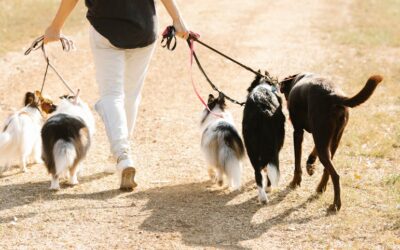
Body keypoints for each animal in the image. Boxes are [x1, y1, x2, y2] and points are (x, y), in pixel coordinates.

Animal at [242, 74, 286, 203]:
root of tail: (262, 109)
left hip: (250, 146)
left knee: (257, 172)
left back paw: (262, 197)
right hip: (275, 142)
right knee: (266, 167)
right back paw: (267, 191)